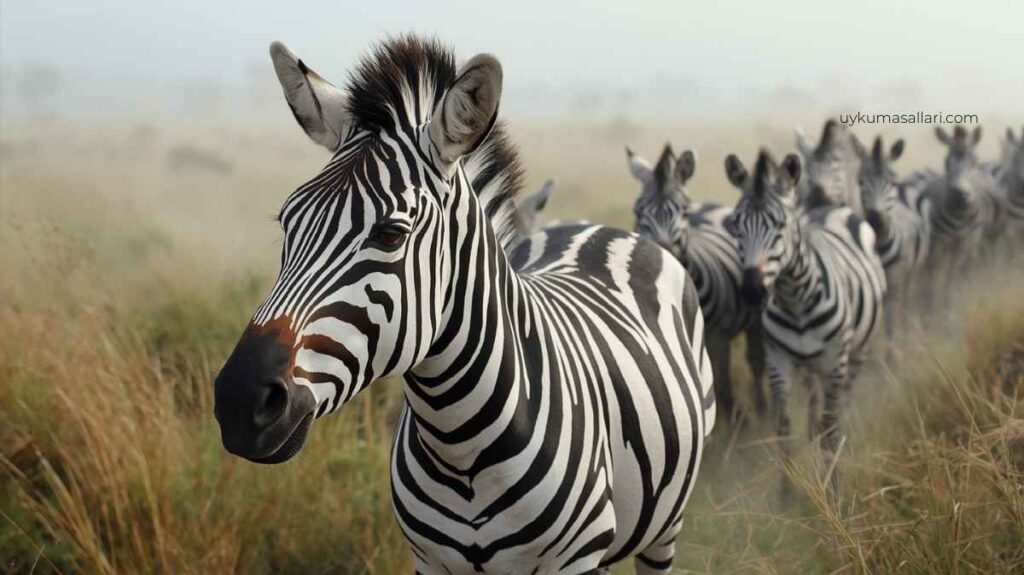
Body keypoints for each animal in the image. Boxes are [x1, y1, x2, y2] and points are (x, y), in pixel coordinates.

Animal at [213, 35, 714, 574]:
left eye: (391, 234)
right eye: (287, 223)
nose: (239, 400)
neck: (460, 443)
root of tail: (605, 231)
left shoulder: (573, 560)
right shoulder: (431, 560)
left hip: (665, 527)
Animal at [627, 144, 767, 422]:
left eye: (683, 211)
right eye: (638, 212)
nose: (658, 257)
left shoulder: (719, 338)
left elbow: (723, 386)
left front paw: (735, 422)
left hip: (754, 317)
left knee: (756, 362)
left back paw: (761, 410)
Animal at [722, 150, 885, 481]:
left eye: (780, 224)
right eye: (735, 226)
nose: (752, 291)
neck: (795, 299)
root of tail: (829, 206)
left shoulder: (835, 361)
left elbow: (831, 428)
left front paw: (831, 483)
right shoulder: (778, 361)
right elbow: (783, 429)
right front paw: (787, 488)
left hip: (856, 353)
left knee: (843, 401)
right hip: (810, 364)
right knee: (813, 398)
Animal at [855, 136, 930, 341]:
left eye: (891, 182)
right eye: (860, 181)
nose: (876, 222)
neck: (880, 248)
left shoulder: (895, 283)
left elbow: (890, 327)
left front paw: (893, 349)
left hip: (911, 273)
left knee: (905, 304)